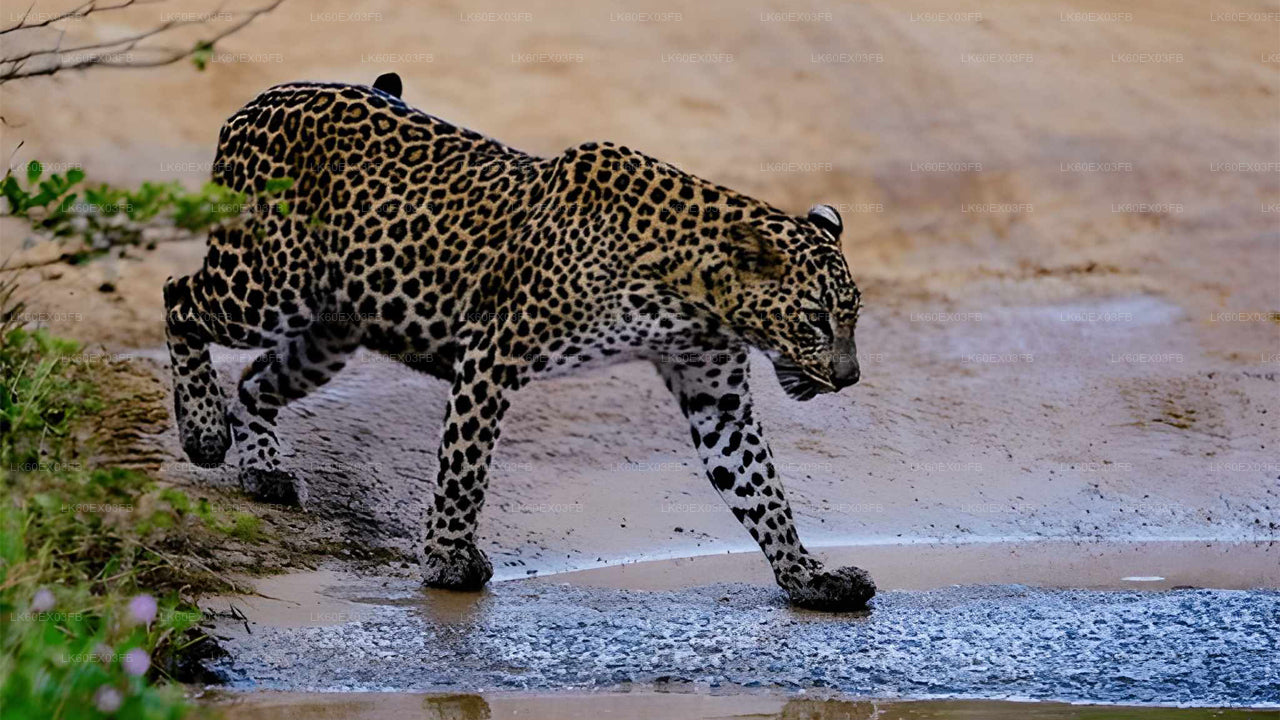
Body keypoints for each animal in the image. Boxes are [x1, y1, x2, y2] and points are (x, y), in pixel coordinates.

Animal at [163, 75, 874, 611]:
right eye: (814, 318)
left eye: (852, 317)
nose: (849, 378)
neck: (697, 296)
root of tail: (261, 97)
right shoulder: (493, 353)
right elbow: (464, 469)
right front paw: (449, 560)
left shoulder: (717, 398)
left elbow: (761, 490)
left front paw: (810, 579)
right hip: (266, 284)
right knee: (178, 298)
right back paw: (203, 431)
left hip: (332, 327)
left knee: (255, 380)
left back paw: (262, 468)